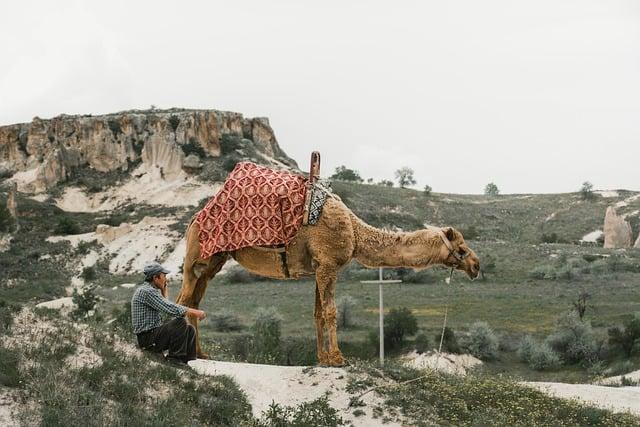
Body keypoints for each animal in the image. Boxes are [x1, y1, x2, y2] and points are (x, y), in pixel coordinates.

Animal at [176, 196, 480, 366]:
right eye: (462, 248)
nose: (476, 266)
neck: (355, 231)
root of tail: (193, 219)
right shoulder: (329, 265)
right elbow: (332, 311)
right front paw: (338, 359)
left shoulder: (318, 268)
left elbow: (318, 312)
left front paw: (323, 359)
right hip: (196, 256)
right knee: (184, 299)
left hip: (213, 261)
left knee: (194, 301)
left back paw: (201, 354)